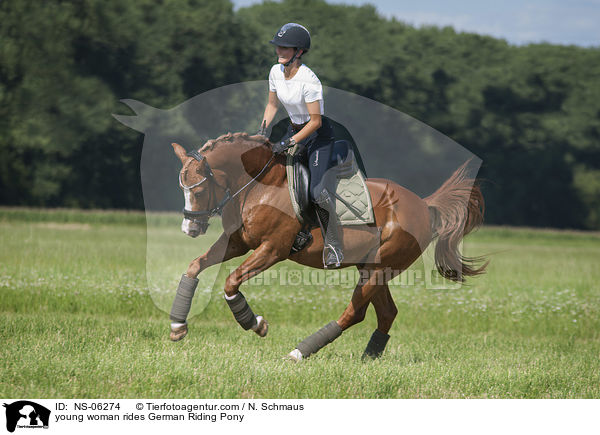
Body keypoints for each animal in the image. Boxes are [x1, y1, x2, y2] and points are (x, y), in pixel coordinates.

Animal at [169, 132, 488, 362]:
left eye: (198, 189)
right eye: (181, 188)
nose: (190, 229)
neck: (259, 186)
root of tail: (423, 205)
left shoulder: (272, 249)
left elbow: (231, 281)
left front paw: (255, 323)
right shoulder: (237, 242)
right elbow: (195, 266)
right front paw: (177, 326)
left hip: (380, 267)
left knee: (355, 313)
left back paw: (299, 352)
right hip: (371, 267)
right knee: (386, 313)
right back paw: (368, 359)